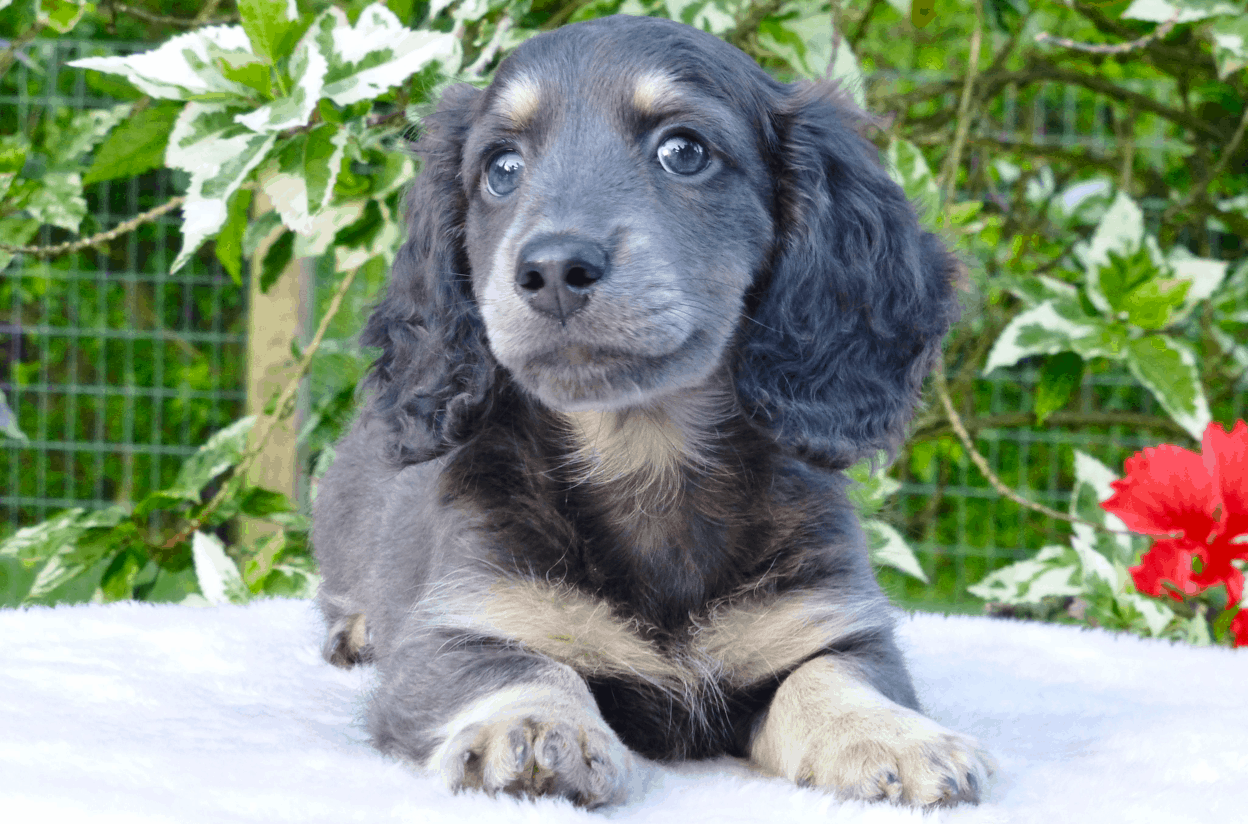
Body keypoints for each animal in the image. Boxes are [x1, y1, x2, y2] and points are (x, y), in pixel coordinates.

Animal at [314, 12, 993, 809]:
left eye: (683, 151)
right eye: (501, 168)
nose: (552, 269)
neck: (645, 455)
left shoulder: (827, 622)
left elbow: (830, 675)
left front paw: (889, 733)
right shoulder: (458, 626)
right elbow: (518, 667)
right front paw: (534, 724)